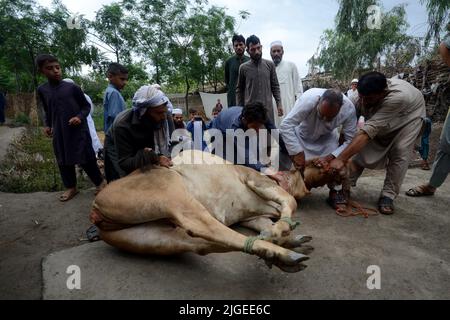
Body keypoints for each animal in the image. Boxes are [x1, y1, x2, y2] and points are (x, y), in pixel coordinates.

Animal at [89, 150, 338, 272]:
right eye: (318, 164)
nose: (334, 167)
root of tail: (95, 208)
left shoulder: (254, 216)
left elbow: (270, 223)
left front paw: (279, 235)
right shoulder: (255, 179)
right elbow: (290, 203)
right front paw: (280, 232)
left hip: (149, 237)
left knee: (197, 244)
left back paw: (278, 254)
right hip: (174, 195)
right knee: (207, 228)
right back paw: (283, 254)